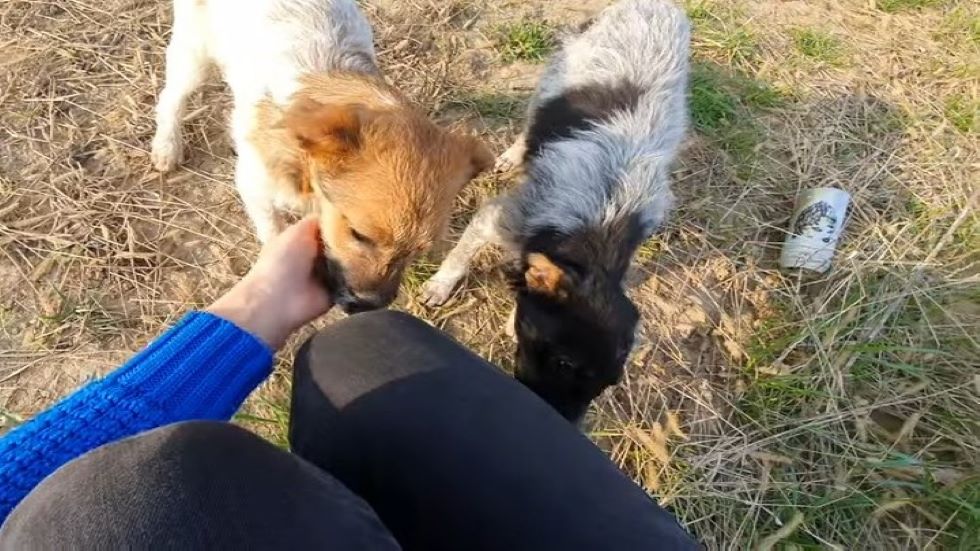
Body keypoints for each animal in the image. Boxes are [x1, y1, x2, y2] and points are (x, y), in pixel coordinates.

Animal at [151, 0, 490, 310]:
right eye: (358, 234)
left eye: (420, 249)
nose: (367, 305)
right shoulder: (254, 187)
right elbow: (272, 233)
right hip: (193, 52)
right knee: (171, 97)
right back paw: (166, 146)